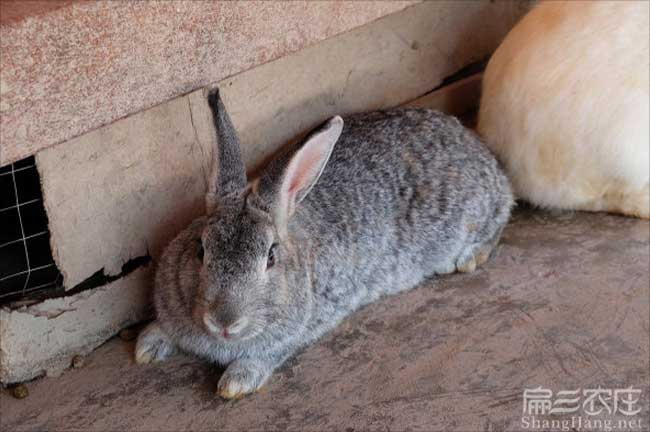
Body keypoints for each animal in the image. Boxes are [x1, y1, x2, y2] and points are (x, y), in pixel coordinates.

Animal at [137, 88, 512, 398]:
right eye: (201, 249)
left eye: (270, 258)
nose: (224, 322)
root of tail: (475, 145)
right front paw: (147, 345)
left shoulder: (305, 326)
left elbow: (269, 355)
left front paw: (236, 381)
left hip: (469, 215)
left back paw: (468, 258)